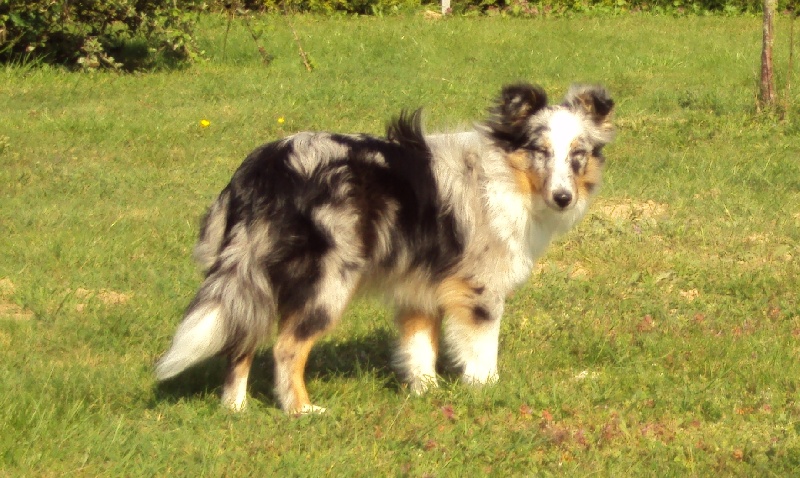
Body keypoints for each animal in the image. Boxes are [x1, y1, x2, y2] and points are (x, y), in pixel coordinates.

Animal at [158, 82, 620, 414]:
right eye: (540, 150)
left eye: (578, 155)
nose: (563, 198)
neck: (506, 173)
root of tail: (264, 168)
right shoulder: (479, 290)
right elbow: (482, 349)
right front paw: (486, 391)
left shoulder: (419, 288)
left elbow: (420, 348)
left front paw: (426, 393)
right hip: (329, 280)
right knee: (286, 347)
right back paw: (302, 411)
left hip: (253, 275)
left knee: (241, 338)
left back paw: (234, 409)